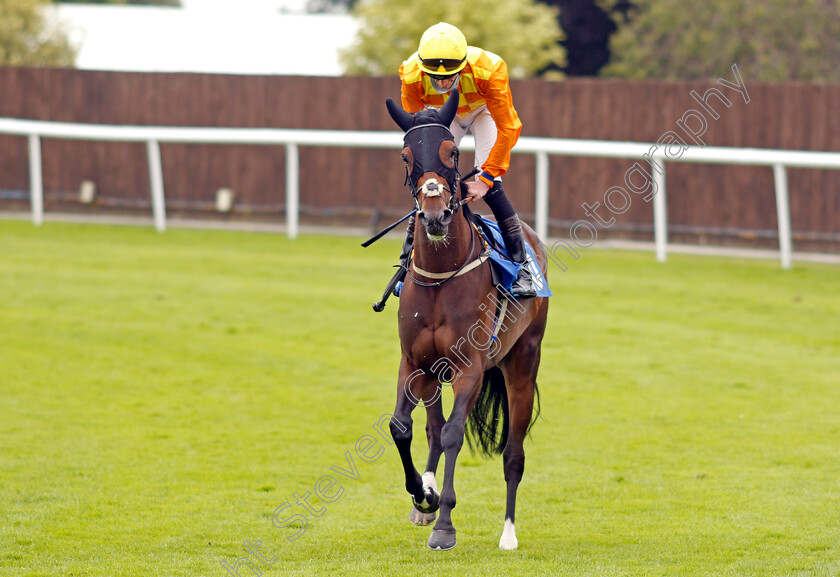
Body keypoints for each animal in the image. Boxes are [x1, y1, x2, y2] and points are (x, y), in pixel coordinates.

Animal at [382, 90, 552, 548]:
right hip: (433, 373)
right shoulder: (413, 361)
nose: (435, 216)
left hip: (522, 362)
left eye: (453, 153)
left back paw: (508, 533)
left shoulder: (470, 368)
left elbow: (455, 434)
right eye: (406, 156)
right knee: (431, 426)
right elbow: (402, 427)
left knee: (513, 454)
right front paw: (422, 495)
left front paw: (444, 523)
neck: (442, 275)